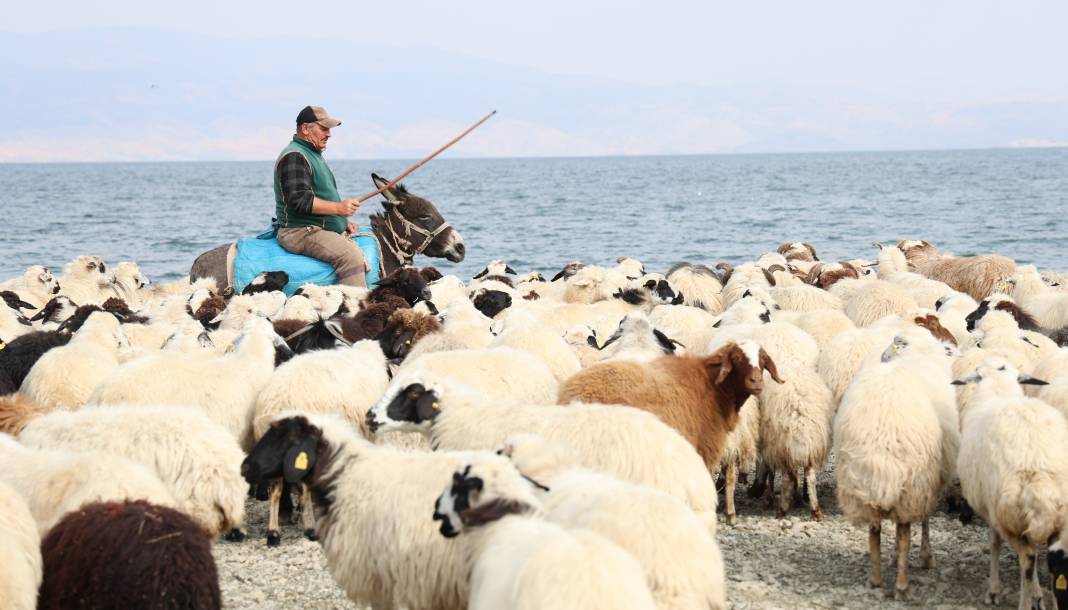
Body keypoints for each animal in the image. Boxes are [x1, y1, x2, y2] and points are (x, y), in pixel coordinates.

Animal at [559, 343, 786, 467]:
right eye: (737, 358)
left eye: (763, 360)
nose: (756, 382)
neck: (714, 387)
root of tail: (568, 392)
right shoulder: (701, 449)